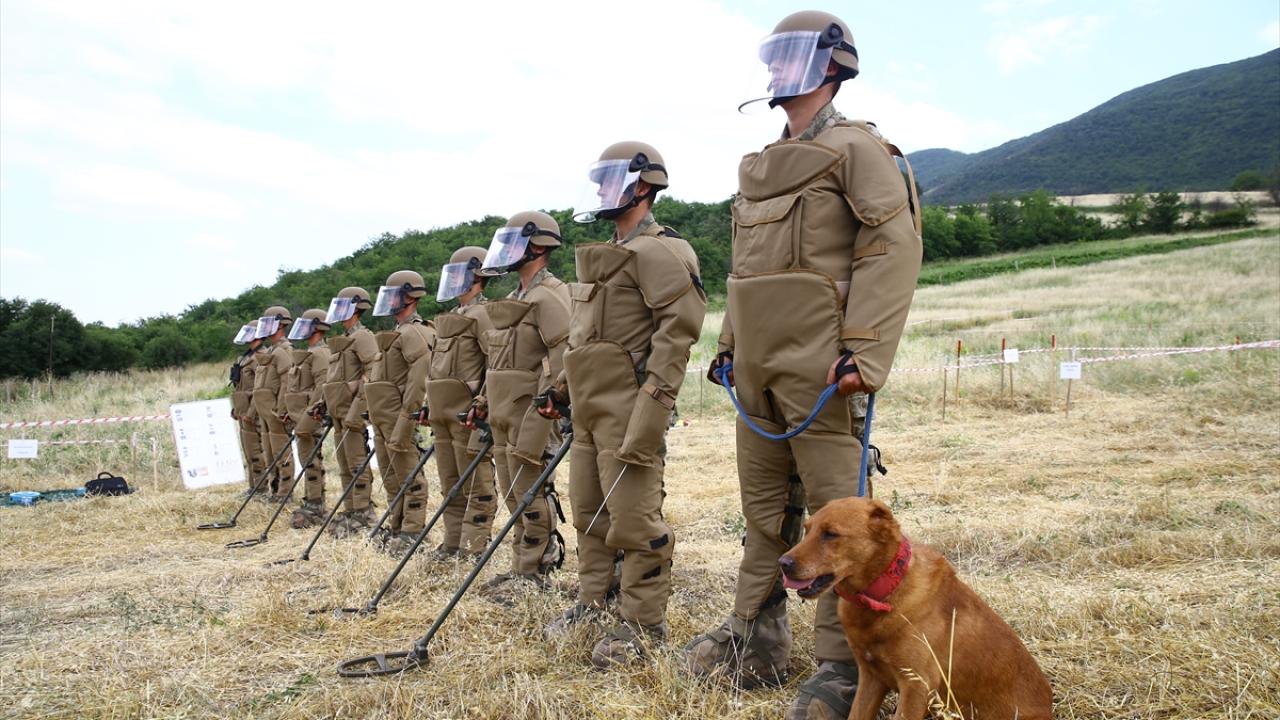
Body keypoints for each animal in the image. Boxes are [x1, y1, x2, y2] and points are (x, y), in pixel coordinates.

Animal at [779, 498, 1052, 720]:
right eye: (807, 530)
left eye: (831, 534)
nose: (783, 563)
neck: (883, 593)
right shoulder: (871, 678)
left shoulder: (916, 687)